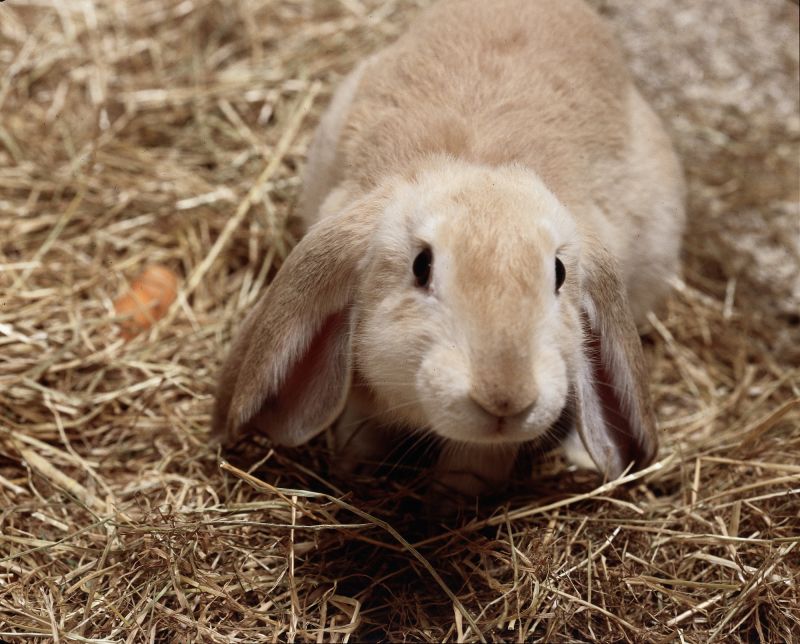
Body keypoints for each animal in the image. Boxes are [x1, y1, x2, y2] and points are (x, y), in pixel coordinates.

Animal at [212, 0, 685, 496]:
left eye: (558, 274)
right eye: (421, 266)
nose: (506, 396)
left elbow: (475, 462)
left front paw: (452, 497)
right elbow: (361, 428)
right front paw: (355, 470)